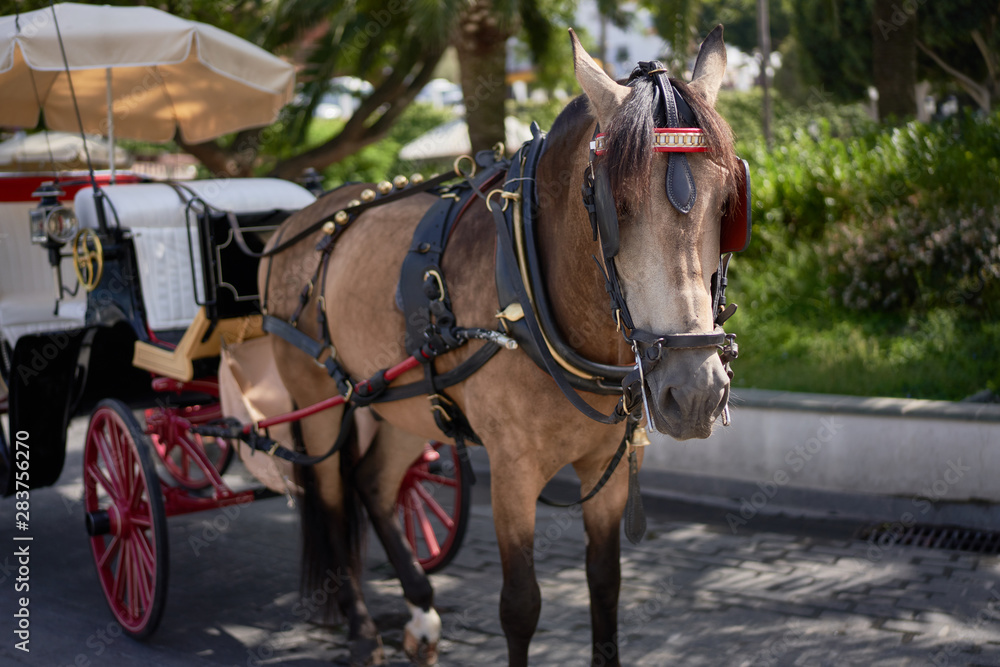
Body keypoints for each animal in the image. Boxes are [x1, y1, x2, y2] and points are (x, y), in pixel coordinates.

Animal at [258, 23, 744, 664]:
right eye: (617, 208)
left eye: (727, 204)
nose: (693, 394)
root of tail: (300, 219)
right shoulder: (512, 473)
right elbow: (520, 605)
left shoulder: (607, 468)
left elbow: (605, 584)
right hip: (319, 398)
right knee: (336, 496)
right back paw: (362, 629)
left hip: (406, 400)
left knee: (374, 482)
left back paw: (421, 611)